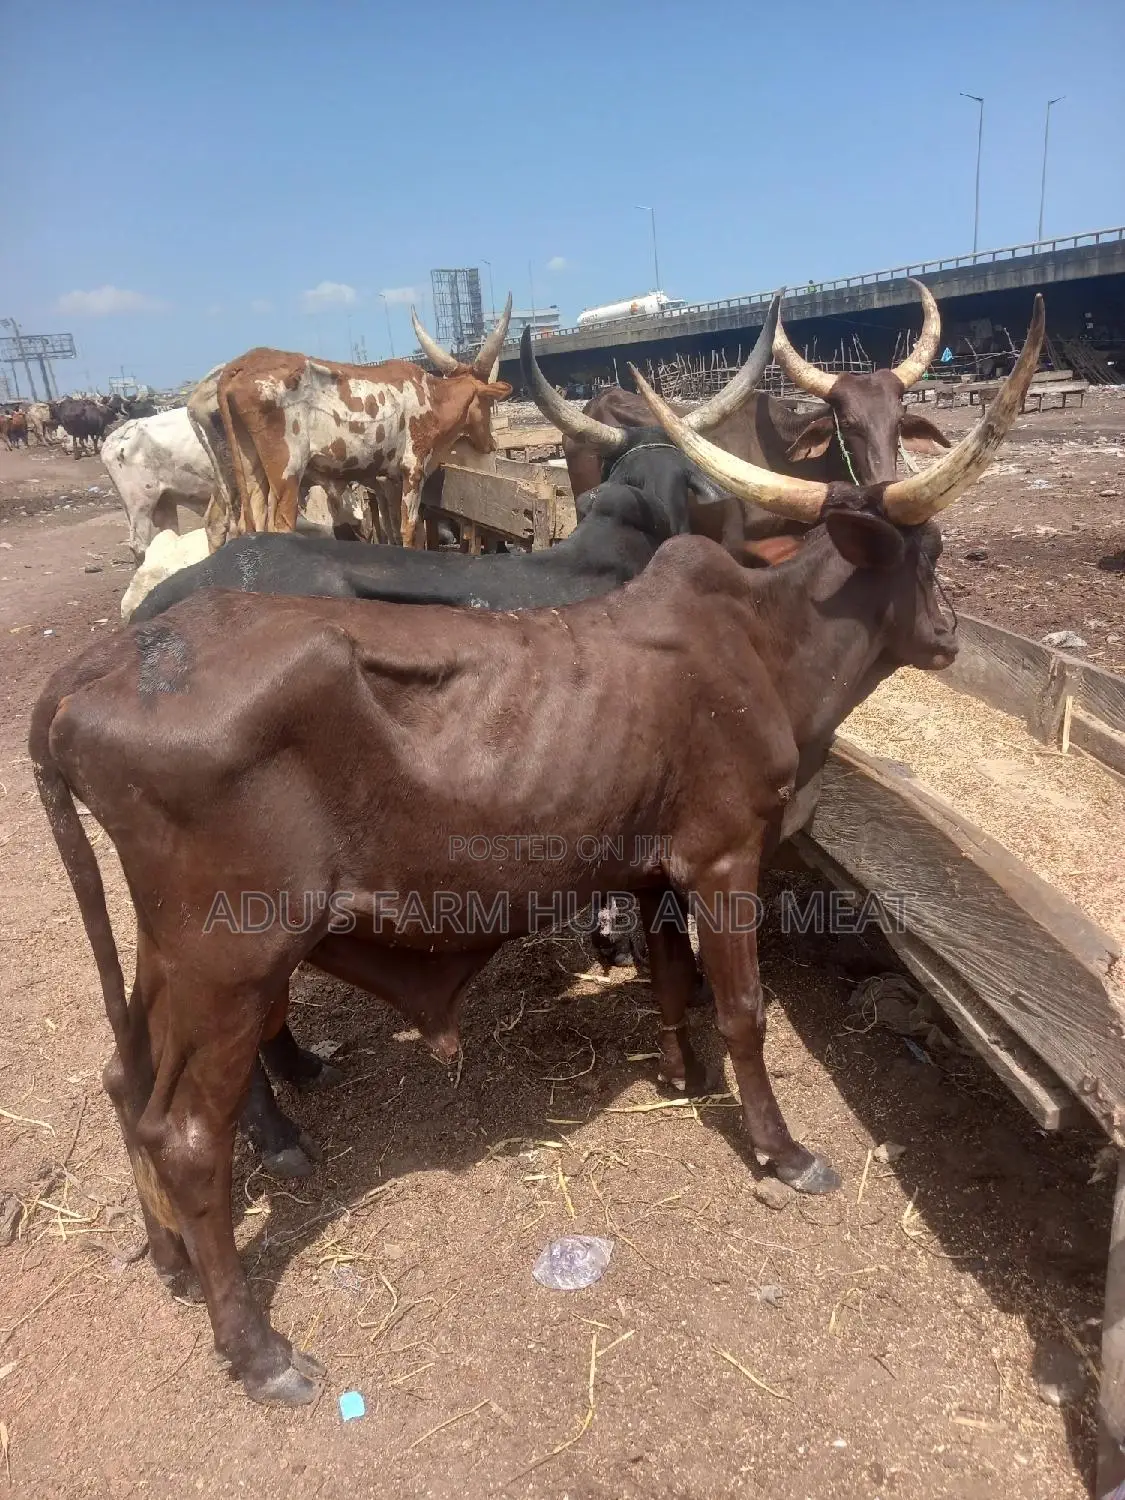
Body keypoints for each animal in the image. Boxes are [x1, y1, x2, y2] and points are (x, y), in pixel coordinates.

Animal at [193, 296, 513, 553]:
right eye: (487, 402)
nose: (492, 443)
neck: (432, 396)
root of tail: (240, 365)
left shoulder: (388, 479)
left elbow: (395, 528)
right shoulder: (412, 471)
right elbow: (410, 529)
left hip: (249, 468)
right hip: (287, 471)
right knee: (280, 525)